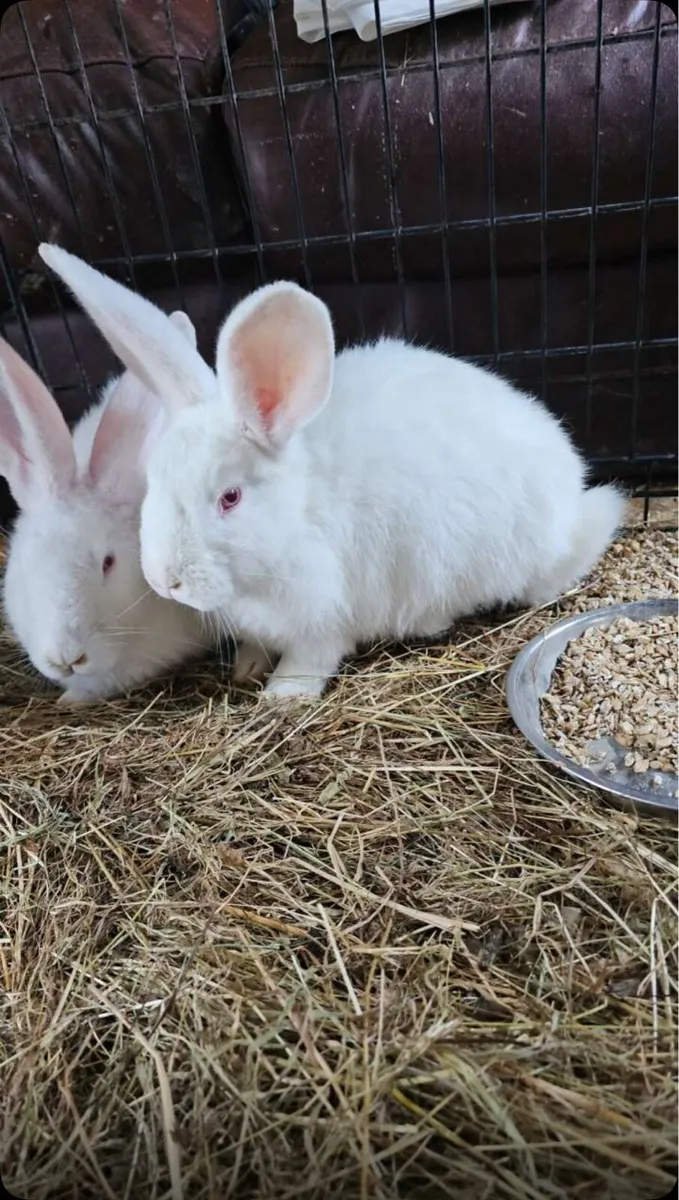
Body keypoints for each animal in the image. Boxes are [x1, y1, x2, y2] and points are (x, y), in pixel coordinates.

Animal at [38, 243, 627, 700]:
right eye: (153, 485)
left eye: (230, 498)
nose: (166, 580)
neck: (294, 519)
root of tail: (572, 483)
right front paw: (247, 666)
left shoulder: (324, 615)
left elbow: (312, 658)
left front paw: (281, 696)